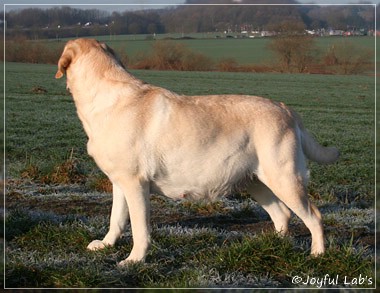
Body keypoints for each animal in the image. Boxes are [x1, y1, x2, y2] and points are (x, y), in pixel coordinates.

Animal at [55, 38, 338, 264]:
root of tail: (285, 108)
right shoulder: (120, 182)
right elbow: (116, 218)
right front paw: (106, 244)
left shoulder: (136, 184)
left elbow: (139, 228)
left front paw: (134, 260)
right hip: (256, 181)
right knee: (282, 214)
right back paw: (271, 246)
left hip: (285, 179)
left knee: (314, 216)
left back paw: (317, 254)